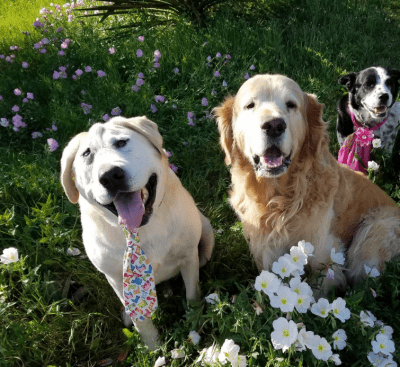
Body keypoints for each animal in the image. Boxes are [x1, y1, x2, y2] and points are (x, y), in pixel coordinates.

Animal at [60, 115, 214, 350]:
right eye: (87, 154)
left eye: (121, 142)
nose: (110, 176)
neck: (141, 229)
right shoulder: (117, 277)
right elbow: (141, 320)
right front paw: (154, 349)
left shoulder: (189, 257)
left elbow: (192, 293)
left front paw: (194, 322)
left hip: (207, 234)